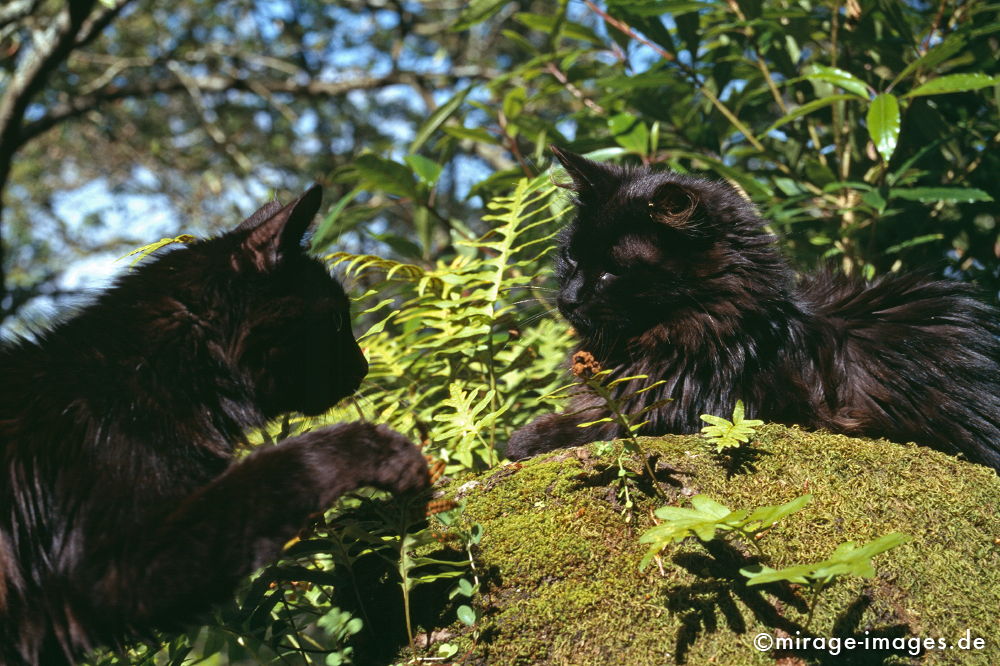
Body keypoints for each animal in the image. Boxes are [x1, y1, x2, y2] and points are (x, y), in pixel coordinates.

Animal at [0, 185, 426, 664]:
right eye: (336, 319)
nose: (363, 367)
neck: (145, 373)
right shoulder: (119, 569)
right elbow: (281, 468)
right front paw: (382, 453)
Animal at [508, 145, 1000, 470]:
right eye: (572, 258)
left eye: (613, 271)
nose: (567, 299)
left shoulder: (683, 411)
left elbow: (589, 427)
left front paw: (524, 438)